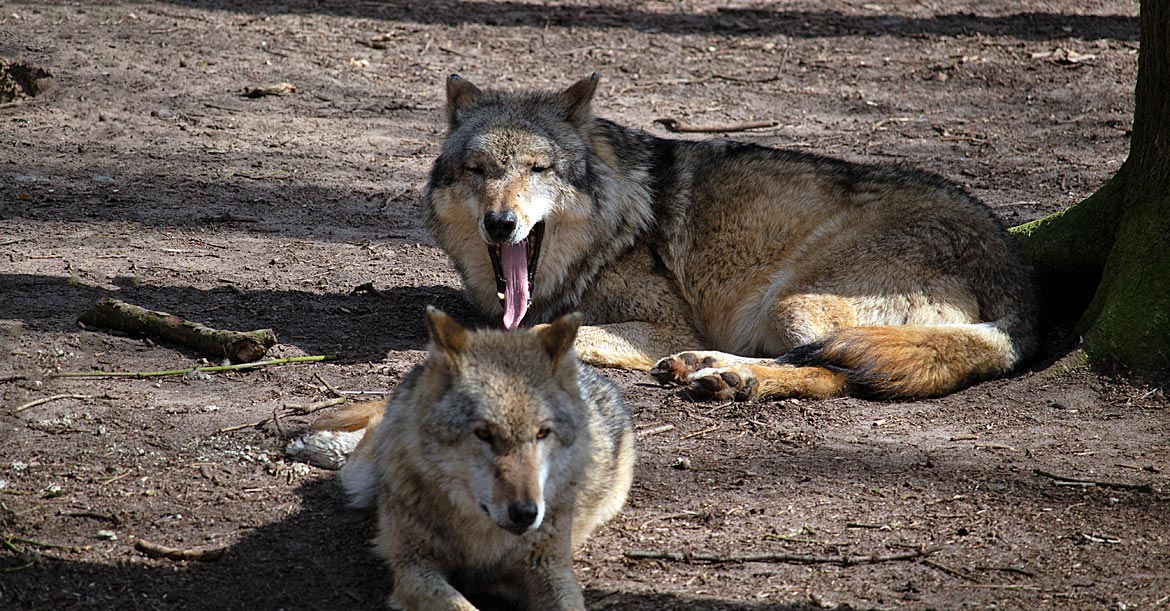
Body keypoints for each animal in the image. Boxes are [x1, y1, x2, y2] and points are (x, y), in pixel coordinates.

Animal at [301, 309, 631, 608]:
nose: (525, 512)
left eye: (542, 433)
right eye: (483, 433)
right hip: (361, 477)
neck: (484, 540)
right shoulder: (413, 568)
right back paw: (316, 445)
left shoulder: (552, 569)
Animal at [425, 72, 1038, 400]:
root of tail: (1016, 273)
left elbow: (547, 332)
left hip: (791, 303)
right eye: (478, 170)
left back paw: (731, 377)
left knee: (833, 371)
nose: (500, 224)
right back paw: (702, 367)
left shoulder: (666, 324)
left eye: (538, 169)